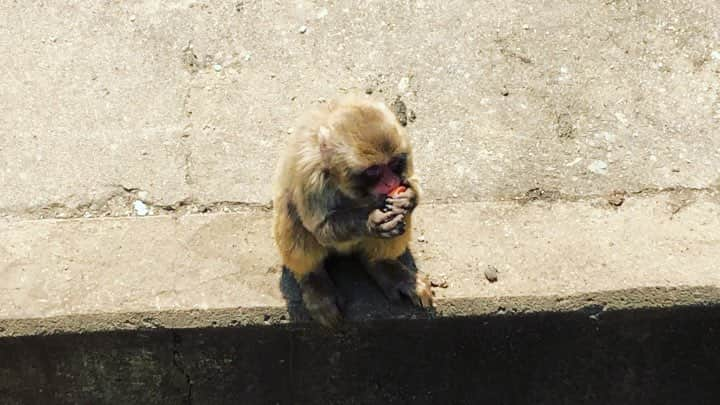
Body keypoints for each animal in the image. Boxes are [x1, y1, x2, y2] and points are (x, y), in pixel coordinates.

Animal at [272, 94, 434, 326]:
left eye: (394, 163)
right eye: (374, 171)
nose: (391, 182)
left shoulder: (405, 146)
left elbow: (411, 183)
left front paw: (408, 197)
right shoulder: (308, 172)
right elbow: (319, 228)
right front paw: (372, 222)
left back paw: (383, 265)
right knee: (292, 214)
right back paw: (314, 281)